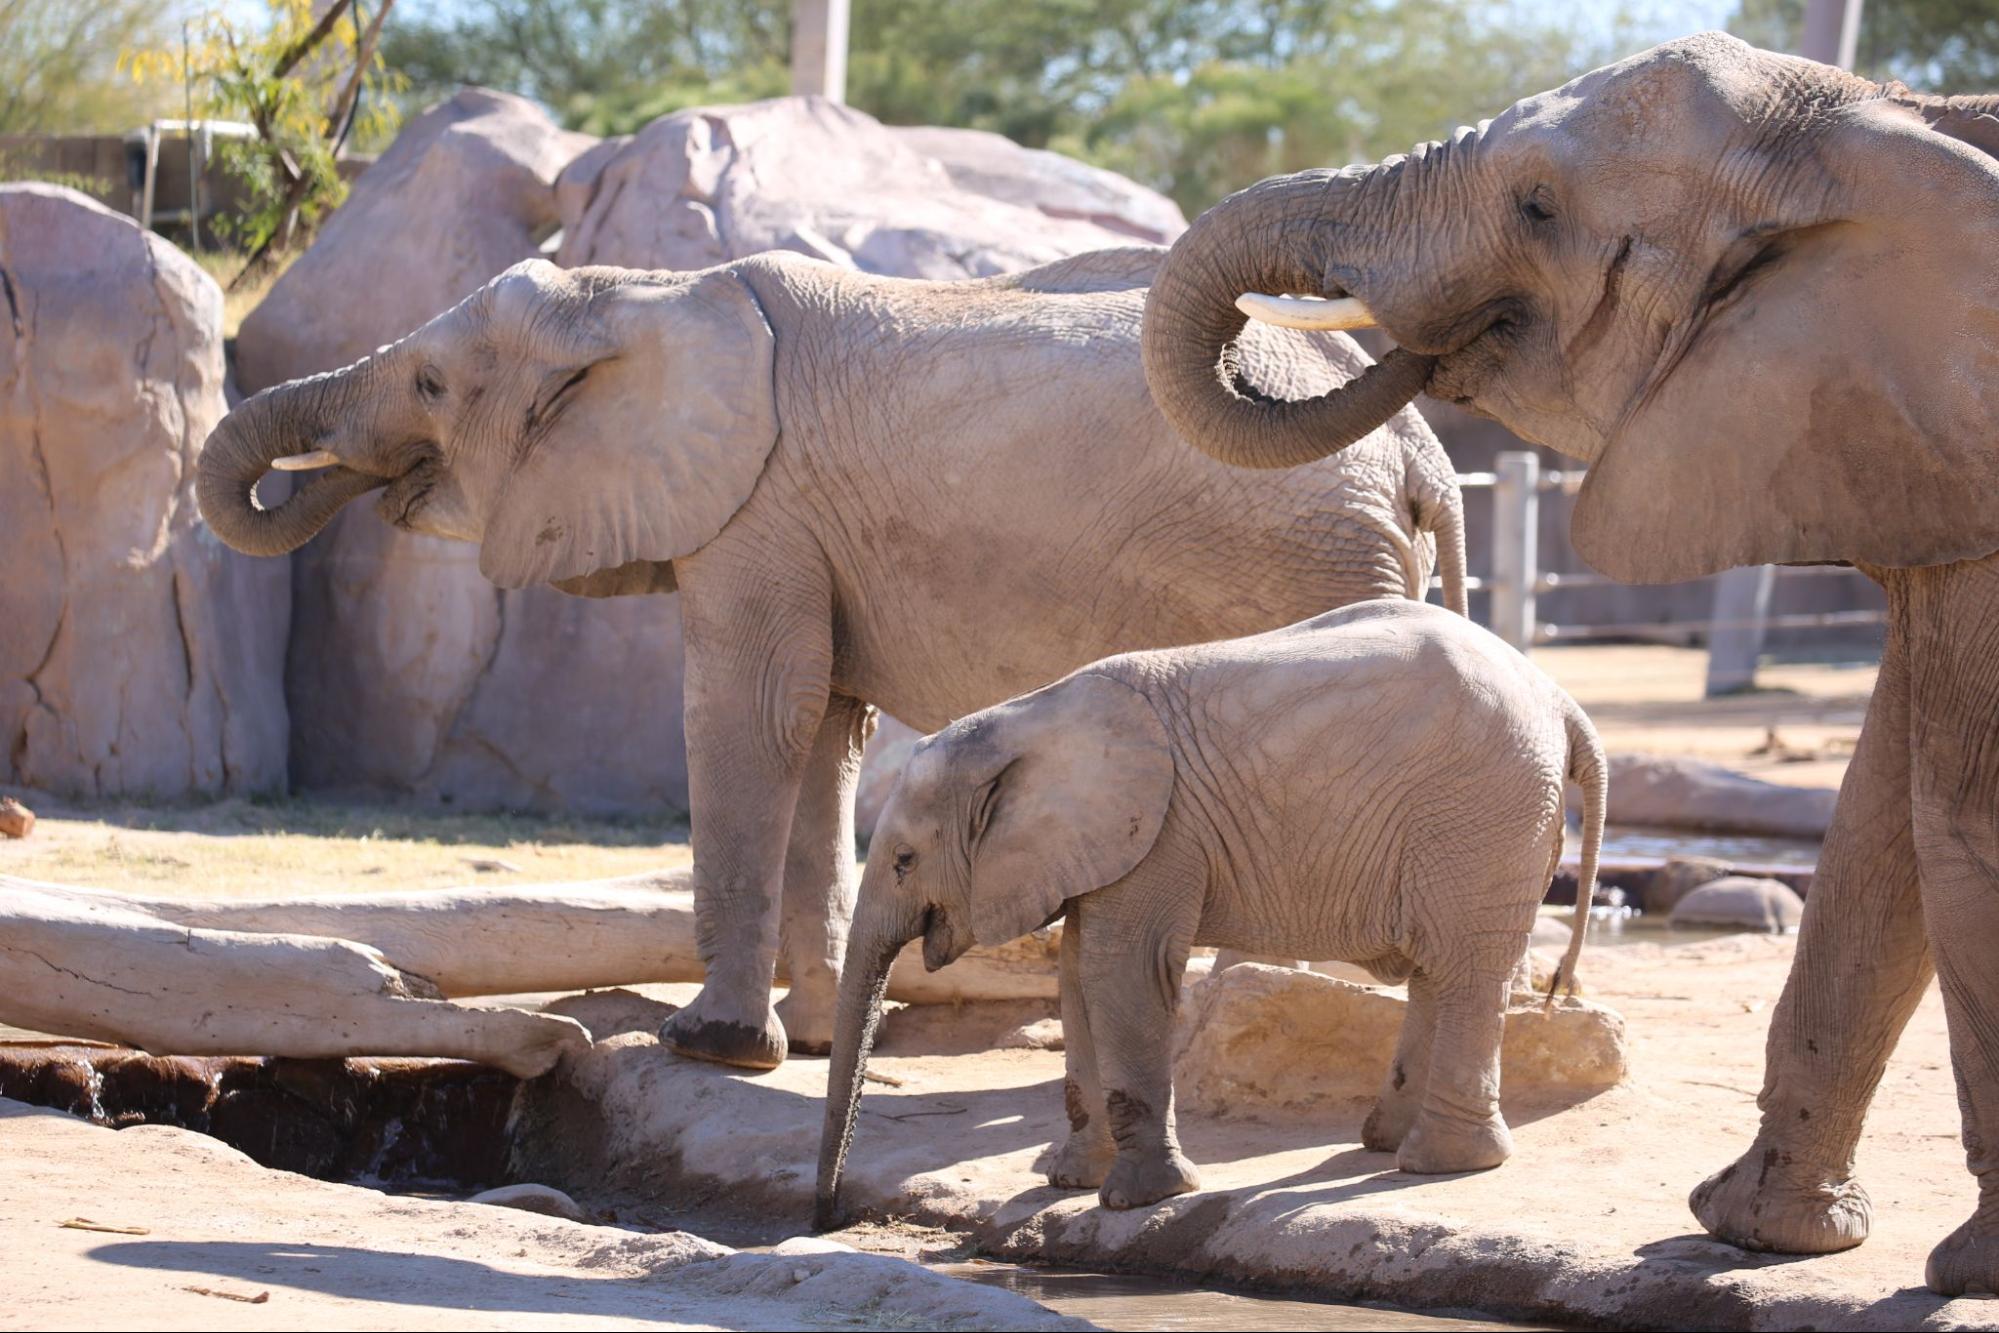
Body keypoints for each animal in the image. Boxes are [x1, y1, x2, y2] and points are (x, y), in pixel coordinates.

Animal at [190, 244, 1471, 1079]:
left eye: (431, 385)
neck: (651, 290)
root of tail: (1426, 460)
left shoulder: (755, 510)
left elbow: (746, 715)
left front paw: (711, 1048)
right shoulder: (806, 534)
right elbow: (820, 729)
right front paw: (810, 1039)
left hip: (1308, 561)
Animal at [815, 599, 1607, 1223]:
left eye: (903, 860)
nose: (825, 1215)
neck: (1022, 720)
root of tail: (1562, 702)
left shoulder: (1159, 833)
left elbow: (1123, 973)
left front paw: (1135, 1199)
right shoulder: (1107, 845)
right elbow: (1076, 975)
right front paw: (1069, 1181)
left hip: (1483, 813)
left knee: (1465, 967)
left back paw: (1438, 1164)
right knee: (1437, 971)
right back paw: (1386, 1140)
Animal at [1143, 28, 1999, 1295]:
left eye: (1539, 205)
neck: (1887, 121)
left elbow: (1961, 821)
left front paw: (1963, 1269)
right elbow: (1882, 821)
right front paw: (1753, 1231)